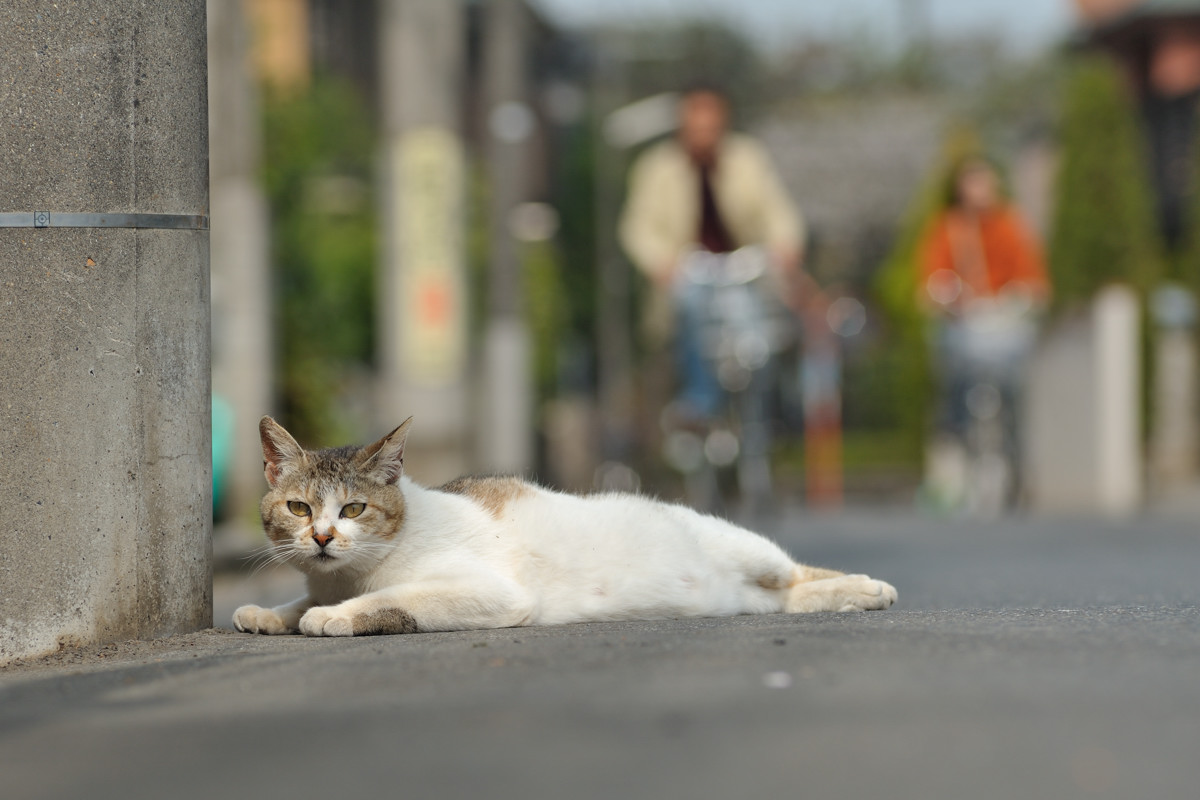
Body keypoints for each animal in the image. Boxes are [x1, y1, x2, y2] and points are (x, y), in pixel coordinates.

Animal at [234, 419, 897, 638]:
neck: (346, 576)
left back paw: (868, 589)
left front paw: (335, 617)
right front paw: (270, 613)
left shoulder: (492, 593)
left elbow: (394, 600)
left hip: (750, 548)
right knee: (787, 599)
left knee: (799, 572)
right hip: (751, 594)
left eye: (352, 510)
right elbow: (298, 600)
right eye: (299, 509)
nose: (322, 538)